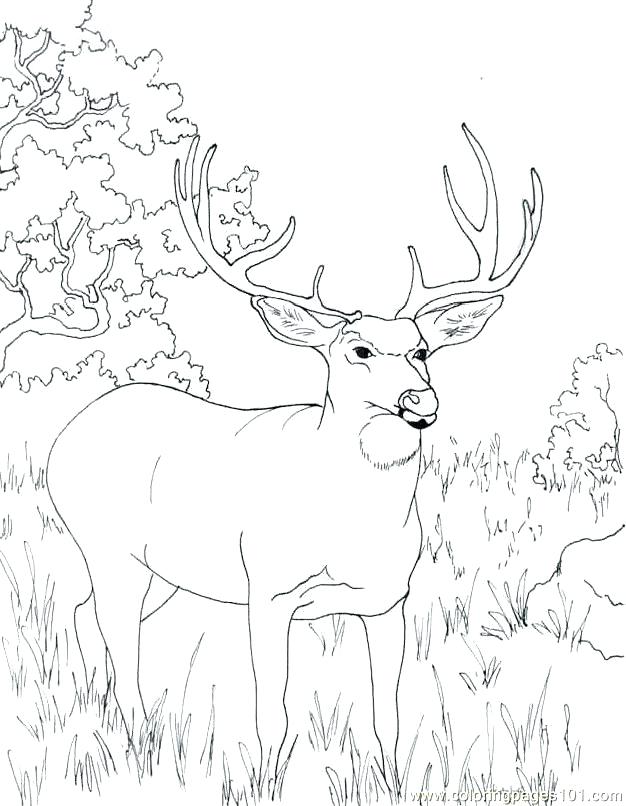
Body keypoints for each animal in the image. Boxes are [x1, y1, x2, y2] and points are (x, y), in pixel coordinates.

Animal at [46, 124, 542, 788]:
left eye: (421, 349)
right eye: (357, 349)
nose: (422, 401)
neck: (349, 528)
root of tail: (66, 434)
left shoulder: (390, 602)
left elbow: (388, 714)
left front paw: (390, 782)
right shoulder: (269, 592)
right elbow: (273, 716)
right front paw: (264, 784)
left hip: (164, 571)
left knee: (85, 615)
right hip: (108, 547)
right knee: (119, 641)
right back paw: (135, 743)